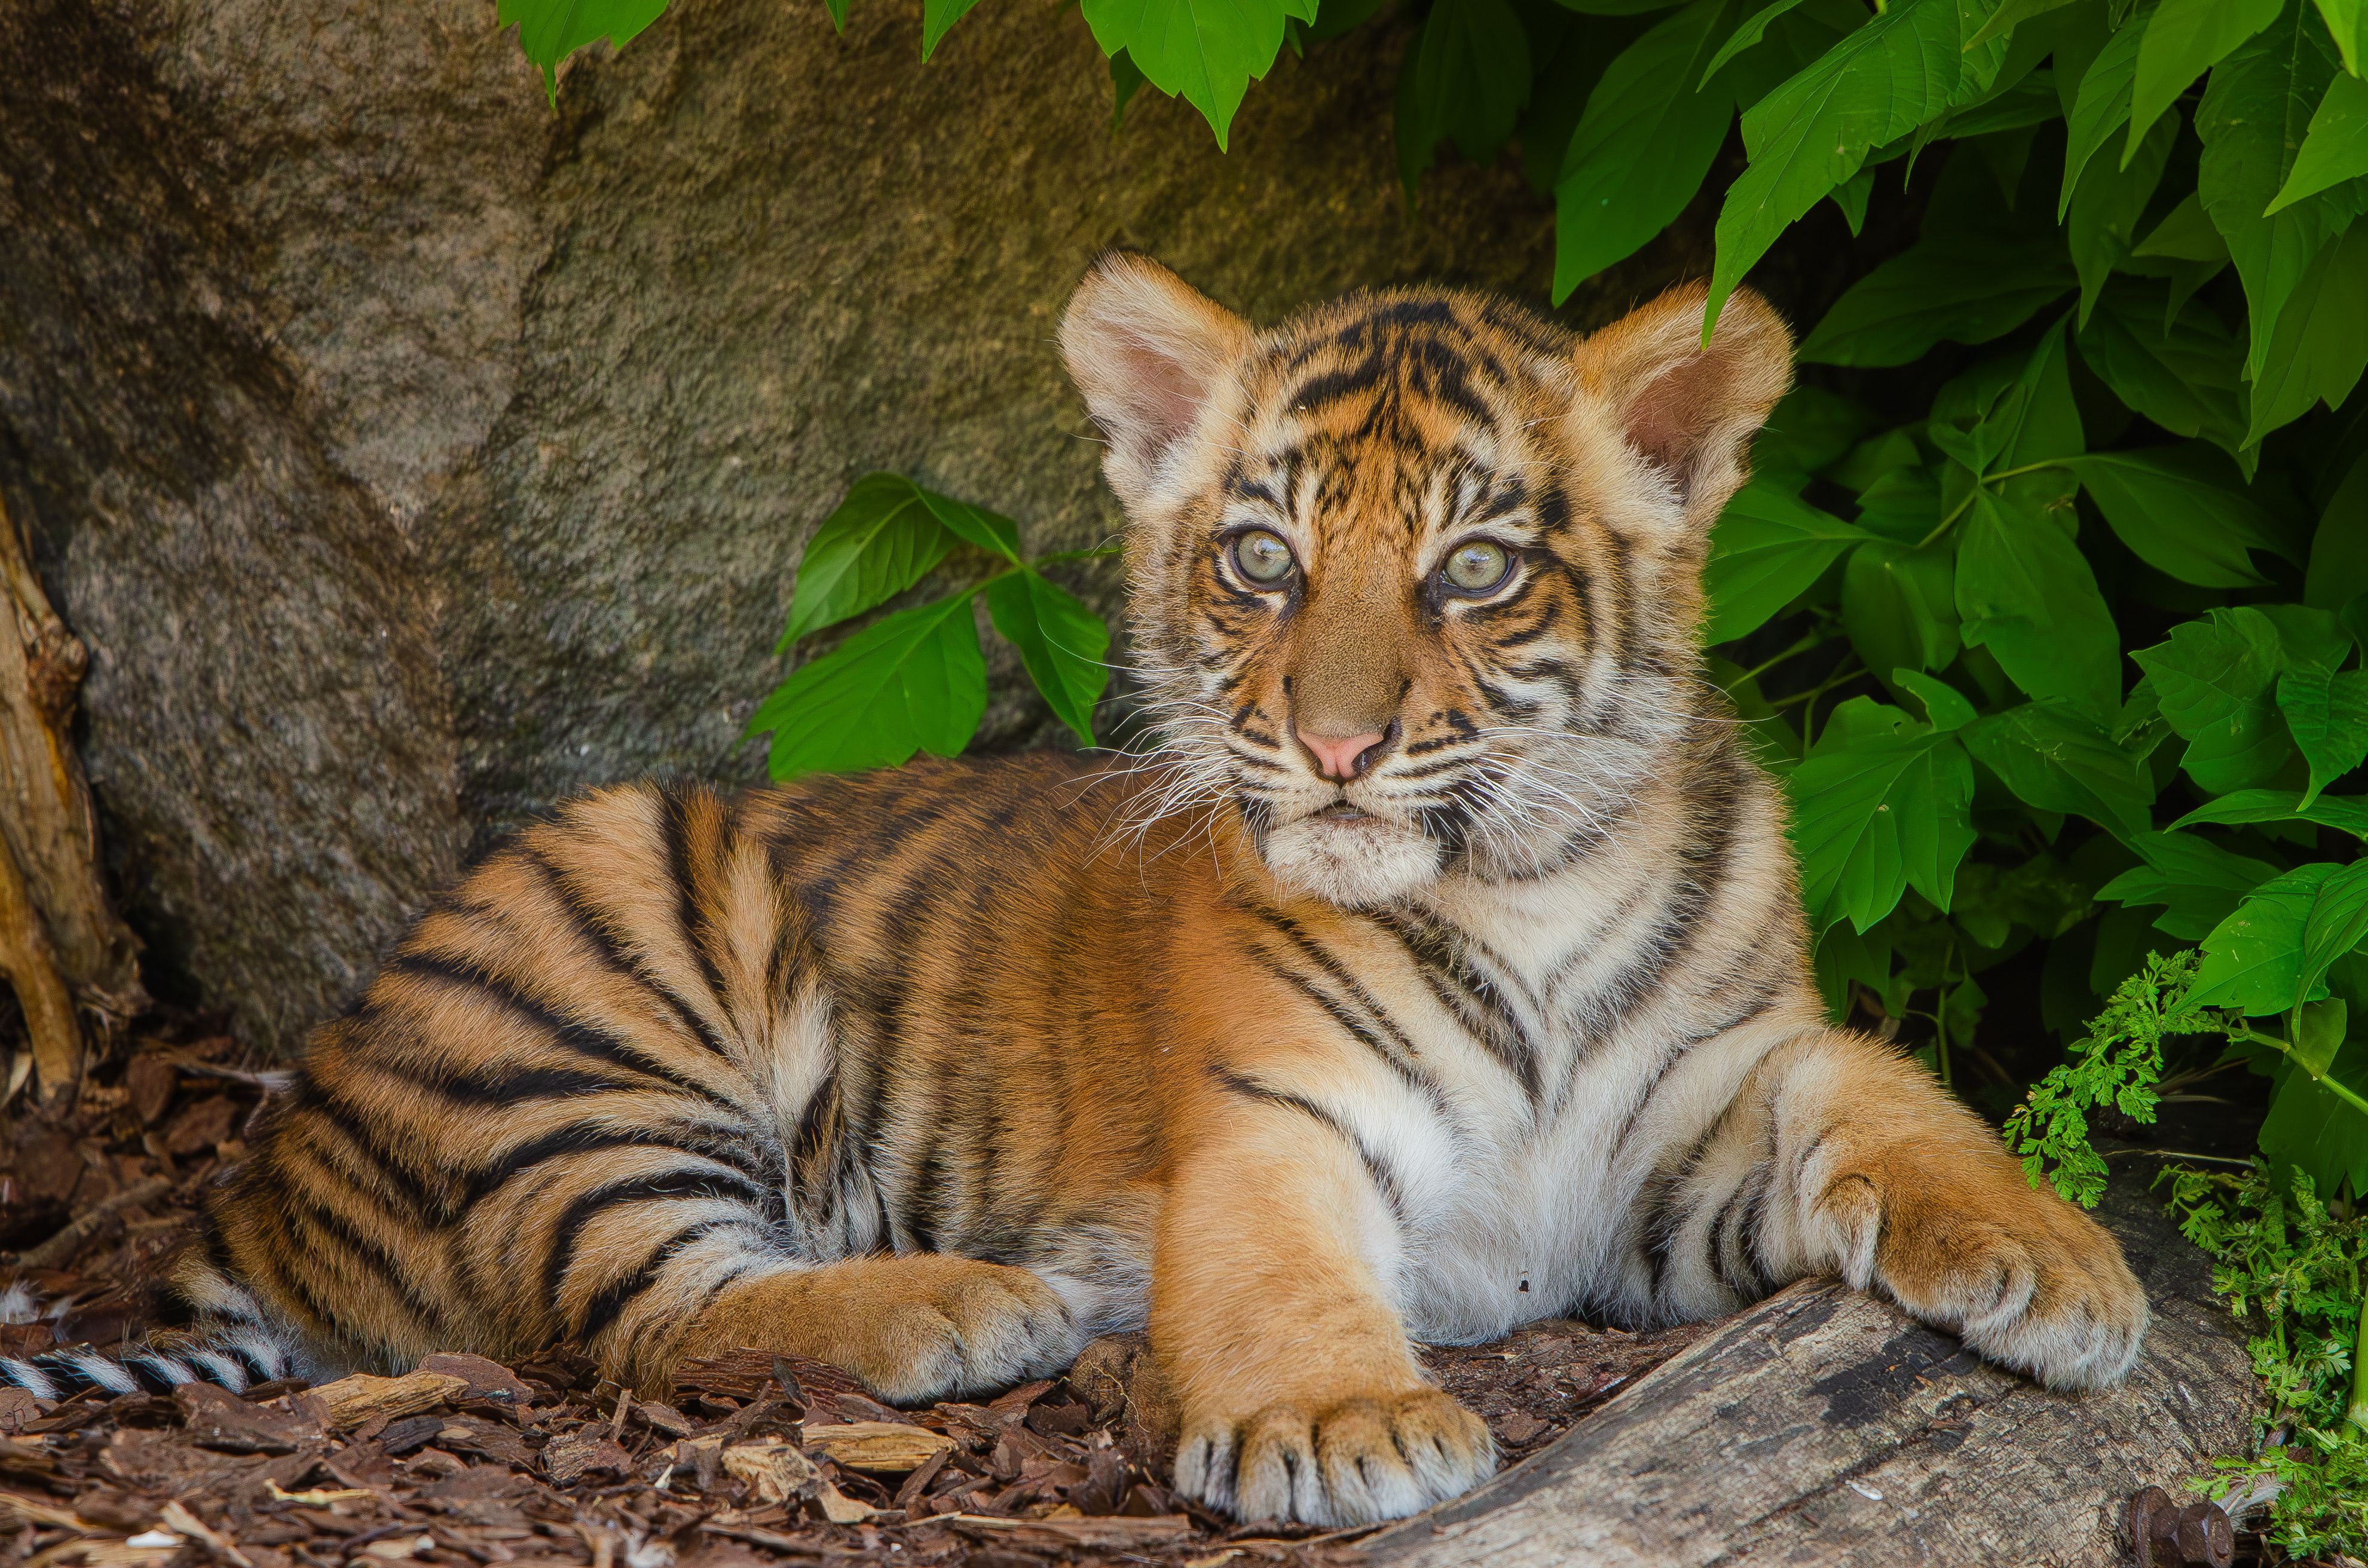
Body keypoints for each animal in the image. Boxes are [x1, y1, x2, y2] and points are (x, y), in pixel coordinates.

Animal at [2, 256, 2146, 1528]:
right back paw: (979, 1300)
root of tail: (263, 1172)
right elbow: (1283, 1278)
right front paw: (1340, 1424)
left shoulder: (1682, 1146)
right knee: (644, 1311)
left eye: (1469, 571)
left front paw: (2059, 1266)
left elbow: (1880, 1086)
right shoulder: (1277, 1127)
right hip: (605, 947)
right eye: (1264, 560)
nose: (1337, 747)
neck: (1526, 891)